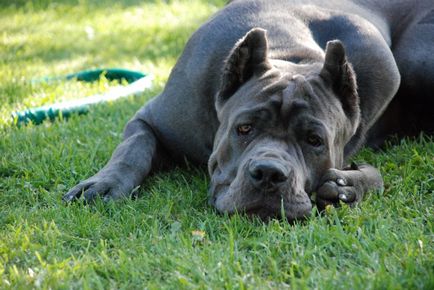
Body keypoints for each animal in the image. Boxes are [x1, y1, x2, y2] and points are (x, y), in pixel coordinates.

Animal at [62, 0, 432, 221]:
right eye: (244, 128)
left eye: (314, 140)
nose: (269, 174)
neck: (291, 56)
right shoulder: (151, 119)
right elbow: (133, 148)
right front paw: (105, 184)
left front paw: (349, 188)